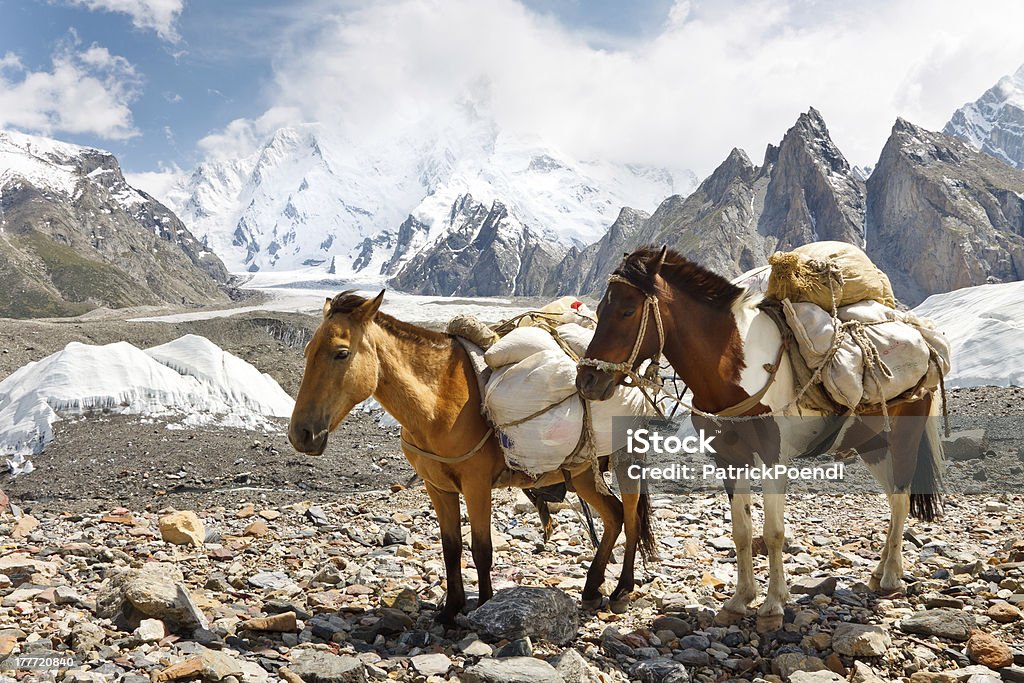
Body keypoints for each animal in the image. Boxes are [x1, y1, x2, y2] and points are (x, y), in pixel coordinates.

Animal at [288, 290, 655, 622]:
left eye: (341, 353)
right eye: (307, 351)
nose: (301, 435)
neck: (439, 402)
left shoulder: (476, 484)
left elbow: (481, 548)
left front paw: (484, 605)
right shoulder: (437, 487)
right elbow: (451, 548)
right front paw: (451, 610)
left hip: (626, 460)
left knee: (632, 519)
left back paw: (622, 589)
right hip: (582, 473)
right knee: (614, 515)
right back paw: (593, 588)